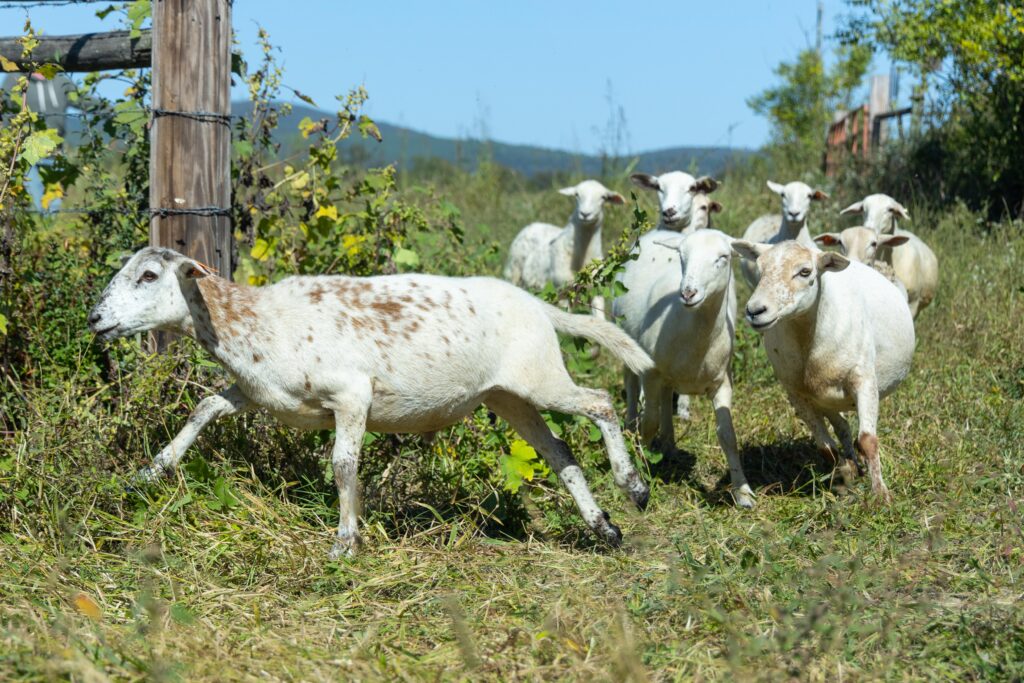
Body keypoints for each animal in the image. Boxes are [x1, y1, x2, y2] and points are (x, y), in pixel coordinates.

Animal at [89, 247, 655, 558]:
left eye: (148, 276)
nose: (95, 319)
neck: (253, 319)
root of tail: (538, 305)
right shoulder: (258, 393)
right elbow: (203, 407)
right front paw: (149, 472)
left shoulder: (351, 395)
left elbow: (343, 465)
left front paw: (345, 541)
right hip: (508, 395)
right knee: (560, 452)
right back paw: (604, 527)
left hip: (539, 376)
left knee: (601, 402)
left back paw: (634, 486)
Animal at [503, 179, 624, 318]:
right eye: (577, 195)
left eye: (603, 197)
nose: (585, 214)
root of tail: (532, 225)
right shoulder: (563, 291)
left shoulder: (596, 291)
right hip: (514, 272)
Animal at [612, 229, 755, 508]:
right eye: (682, 256)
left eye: (722, 258)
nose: (688, 293)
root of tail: (659, 232)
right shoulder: (651, 373)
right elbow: (650, 423)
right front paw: (643, 471)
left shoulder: (722, 382)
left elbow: (728, 435)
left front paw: (742, 492)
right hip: (627, 338)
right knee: (631, 383)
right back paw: (631, 424)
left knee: (667, 397)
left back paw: (669, 446)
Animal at [732, 240, 915, 502]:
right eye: (760, 269)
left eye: (805, 272)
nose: (755, 311)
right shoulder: (796, 392)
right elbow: (826, 448)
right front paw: (845, 474)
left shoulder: (864, 379)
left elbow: (868, 440)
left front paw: (881, 495)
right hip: (824, 397)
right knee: (842, 427)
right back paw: (852, 465)